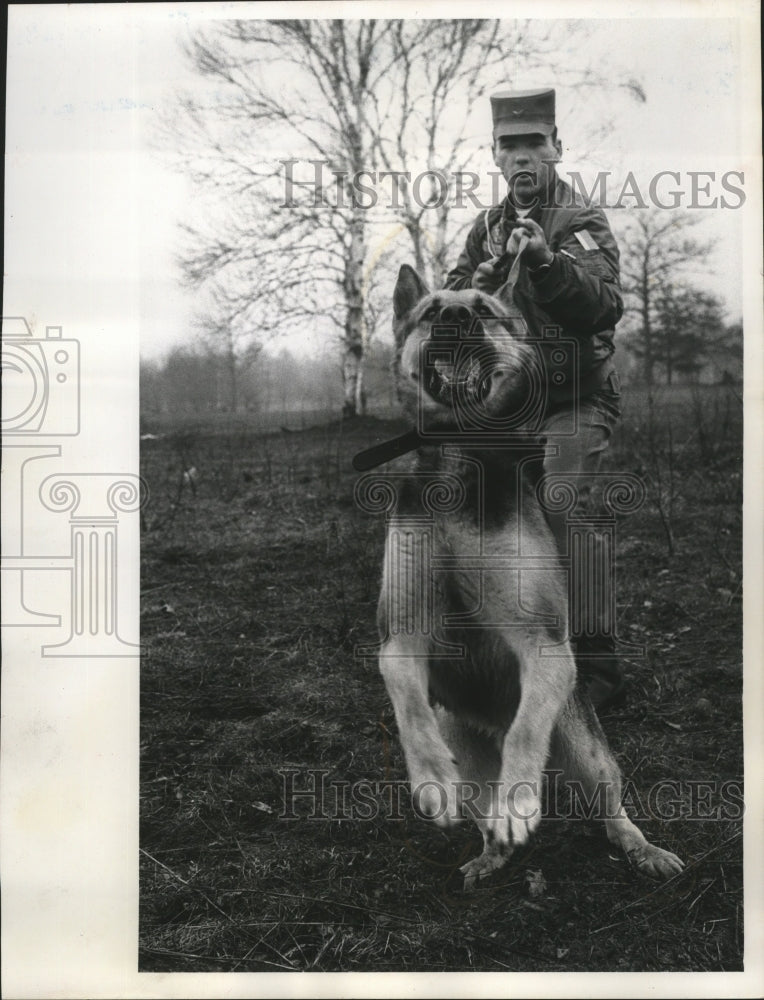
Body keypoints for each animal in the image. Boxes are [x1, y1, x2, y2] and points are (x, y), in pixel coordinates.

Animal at [374, 266, 684, 892]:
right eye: (432, 312)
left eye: (484, 310)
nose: (455, 317)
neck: (459, 455)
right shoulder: (400, 638)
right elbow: (411, 711)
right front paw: (430, 780)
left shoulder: (542, 644)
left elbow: (525, 734)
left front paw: (519, 799)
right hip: (471, 762)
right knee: (484, 811)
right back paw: (489, 853)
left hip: (586, 749)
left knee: (607, 805)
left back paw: (641, 849)